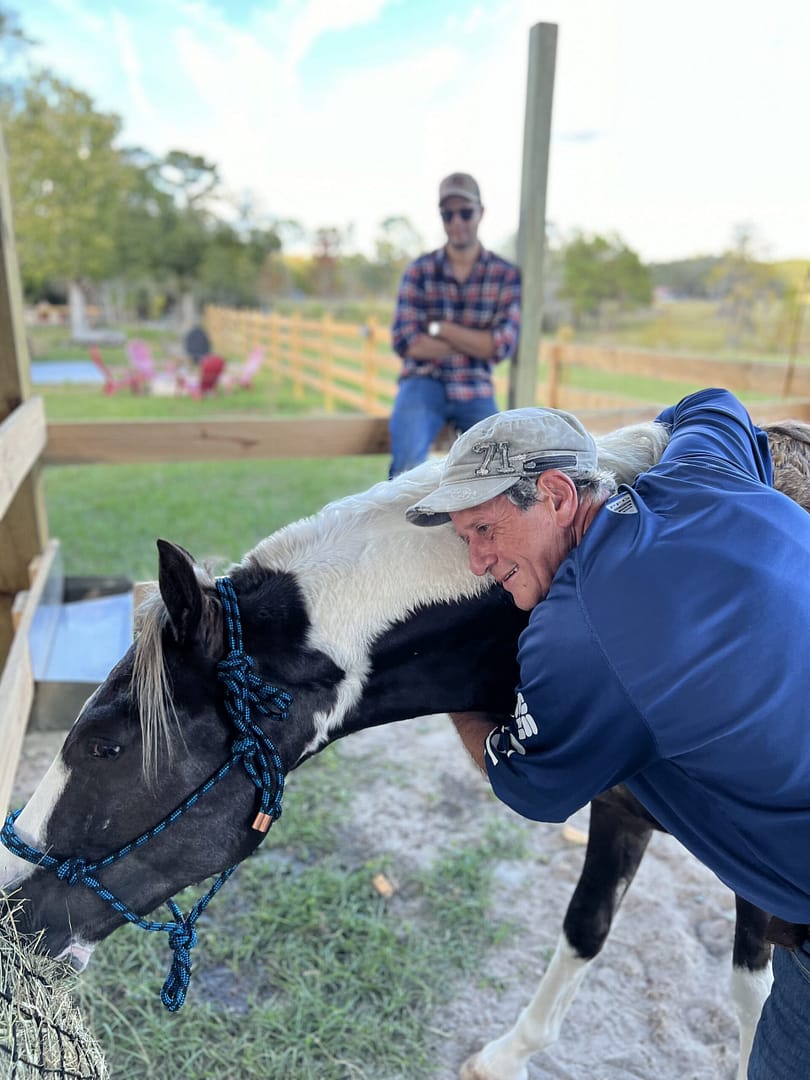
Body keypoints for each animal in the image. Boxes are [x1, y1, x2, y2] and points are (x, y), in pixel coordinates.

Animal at [2, 414, 809, 1080]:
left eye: (105, 746)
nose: (10, 908)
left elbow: (754, 996)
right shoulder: (616, 809)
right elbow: (586, 928)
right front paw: (510, 1054)